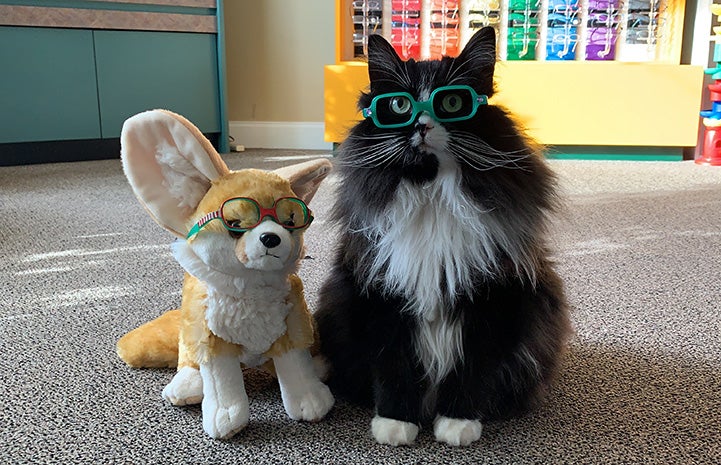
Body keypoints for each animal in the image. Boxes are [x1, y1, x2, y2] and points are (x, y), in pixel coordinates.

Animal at [318, 28, 572, 446]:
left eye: (452, 102)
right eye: (399, 105)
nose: (422, 125)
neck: (431, 194)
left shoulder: (492, 298)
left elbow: (472, 369)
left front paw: (457, 425)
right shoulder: (382, 296)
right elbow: (394, 367)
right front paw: (395, 425)